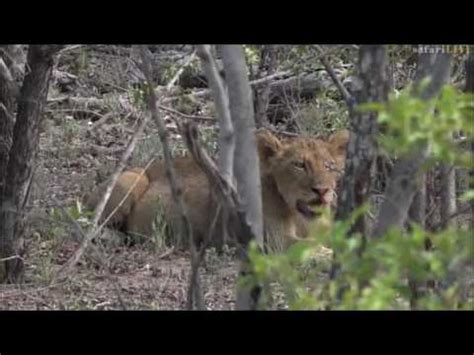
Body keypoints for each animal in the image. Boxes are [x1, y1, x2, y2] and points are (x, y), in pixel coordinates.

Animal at [85, 130, 348, 250]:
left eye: (329, 165)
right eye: (299, 165)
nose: (322, 190)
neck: (299, 215)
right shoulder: (272, 242)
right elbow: (311, 246)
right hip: (132, 177)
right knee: (92, 223)